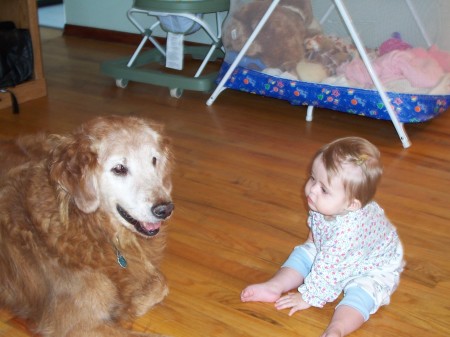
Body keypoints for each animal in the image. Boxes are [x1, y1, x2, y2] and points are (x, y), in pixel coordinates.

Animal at [0, 114, 174, 334]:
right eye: (119, 169)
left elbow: (160, 282)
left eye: (153, 160)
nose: (165, 209)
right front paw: (125, 307)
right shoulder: (77, 325)